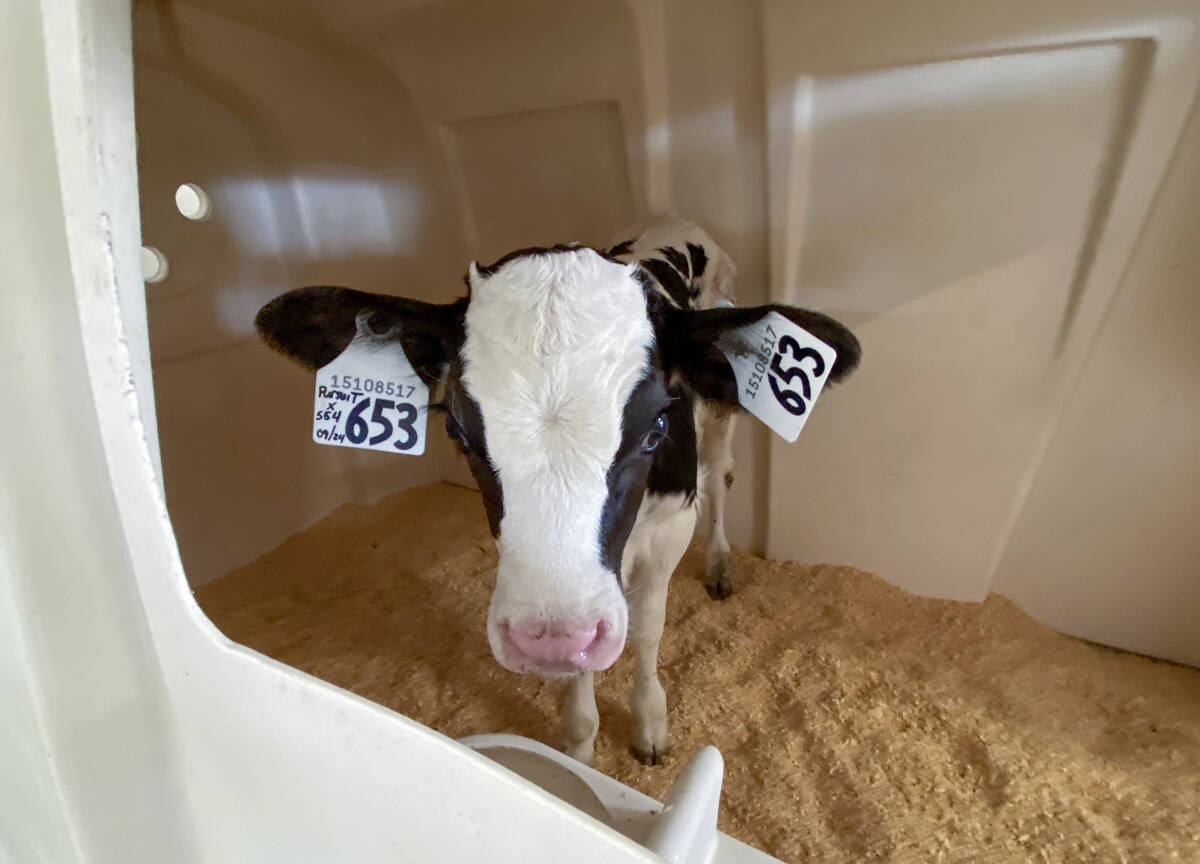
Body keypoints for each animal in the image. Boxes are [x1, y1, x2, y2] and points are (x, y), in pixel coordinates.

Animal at [255, 216, 860, 764]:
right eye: (457, 431)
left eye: (655, 428)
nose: (548, 638)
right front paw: (579, 741)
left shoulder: (670, 524)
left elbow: (648, 628)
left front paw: (650, 724)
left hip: (720, 414)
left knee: (719, 476)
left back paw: (720, 564)